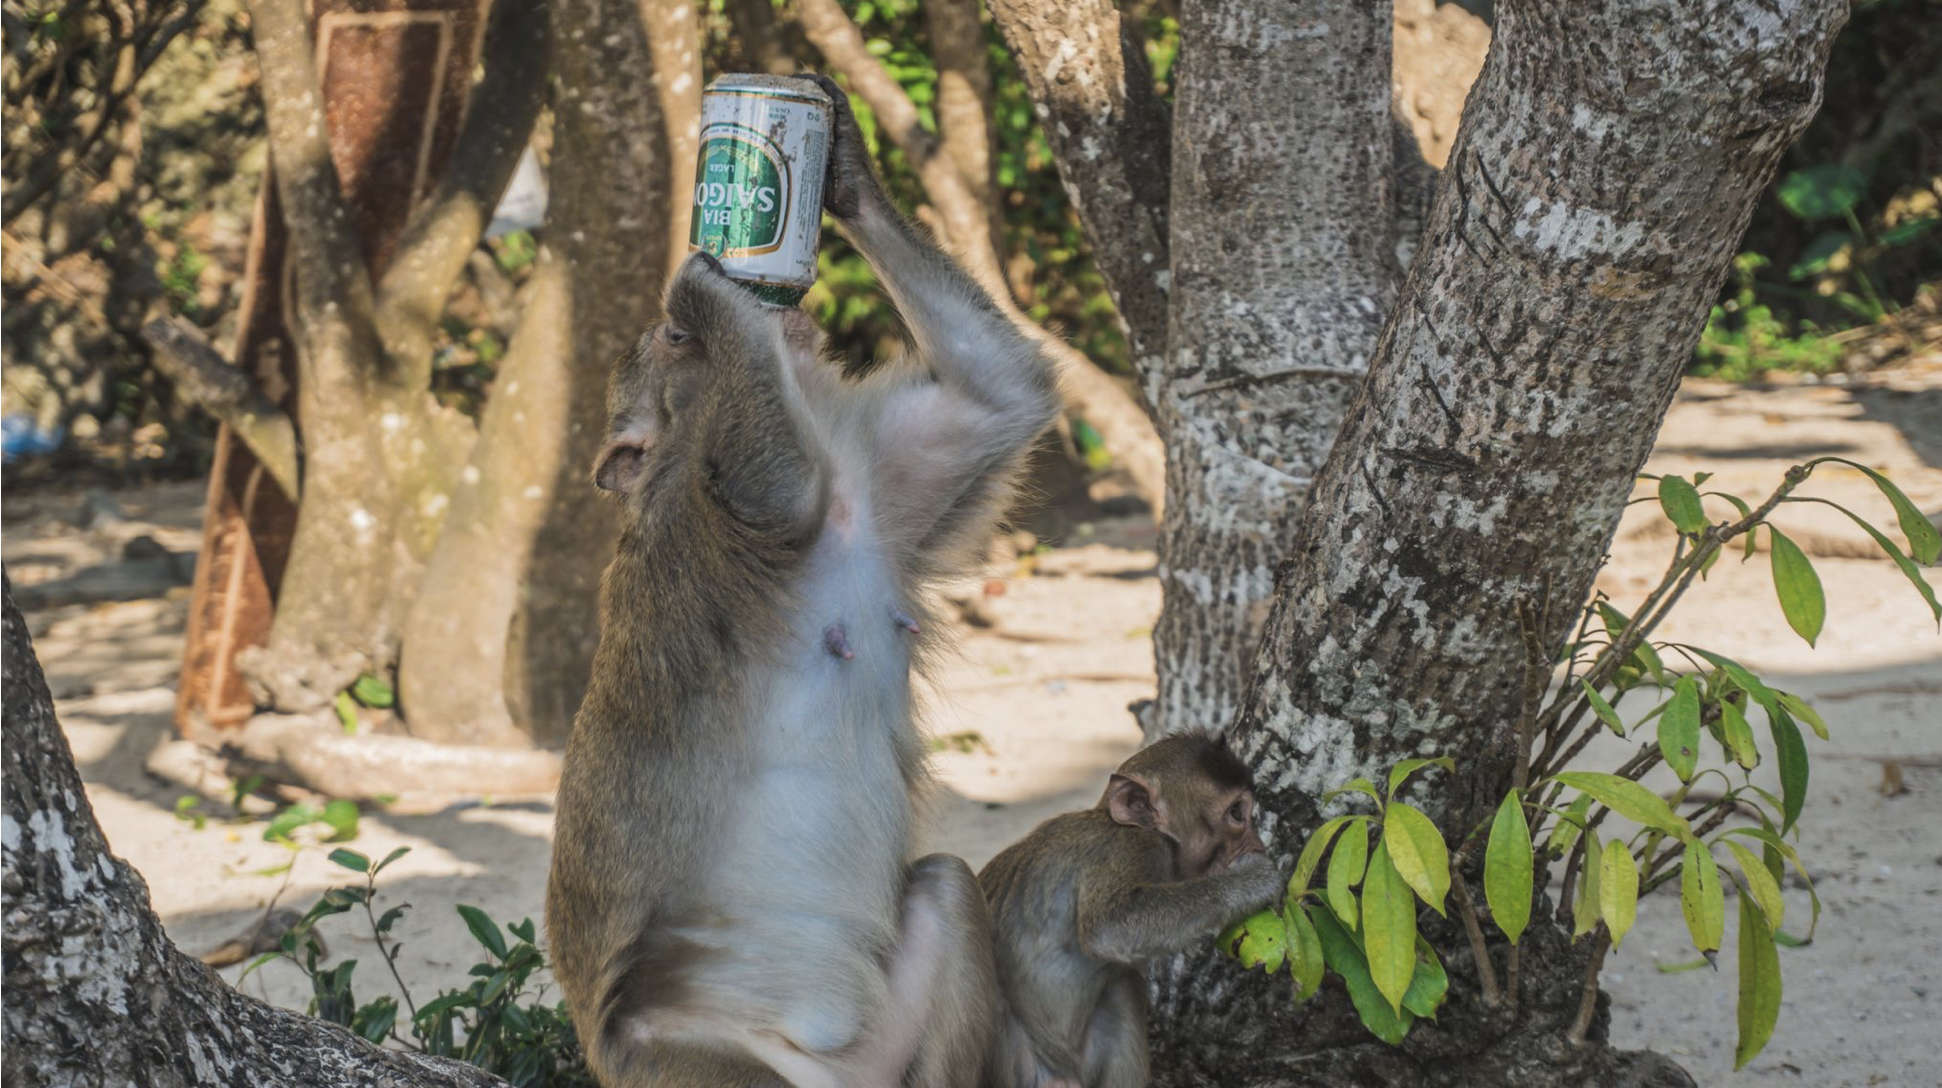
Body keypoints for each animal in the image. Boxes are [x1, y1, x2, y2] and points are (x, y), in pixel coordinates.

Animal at [546, 72, 1058, 1088]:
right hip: (684, 1065)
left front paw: (843, 163)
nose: (696, 314)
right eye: (674, 338)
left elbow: (1003, 395)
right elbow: (775, 494)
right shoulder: (695, 527)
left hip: (877, 1053)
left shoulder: (880, 485)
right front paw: (712, 280)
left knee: (945, 889)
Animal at [977, 733, 1285, 1088]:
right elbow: (1110, 926)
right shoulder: (1132, 848)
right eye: (1237, 813)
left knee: (1122, 986)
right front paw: (1253, 880)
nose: (1258, 844)